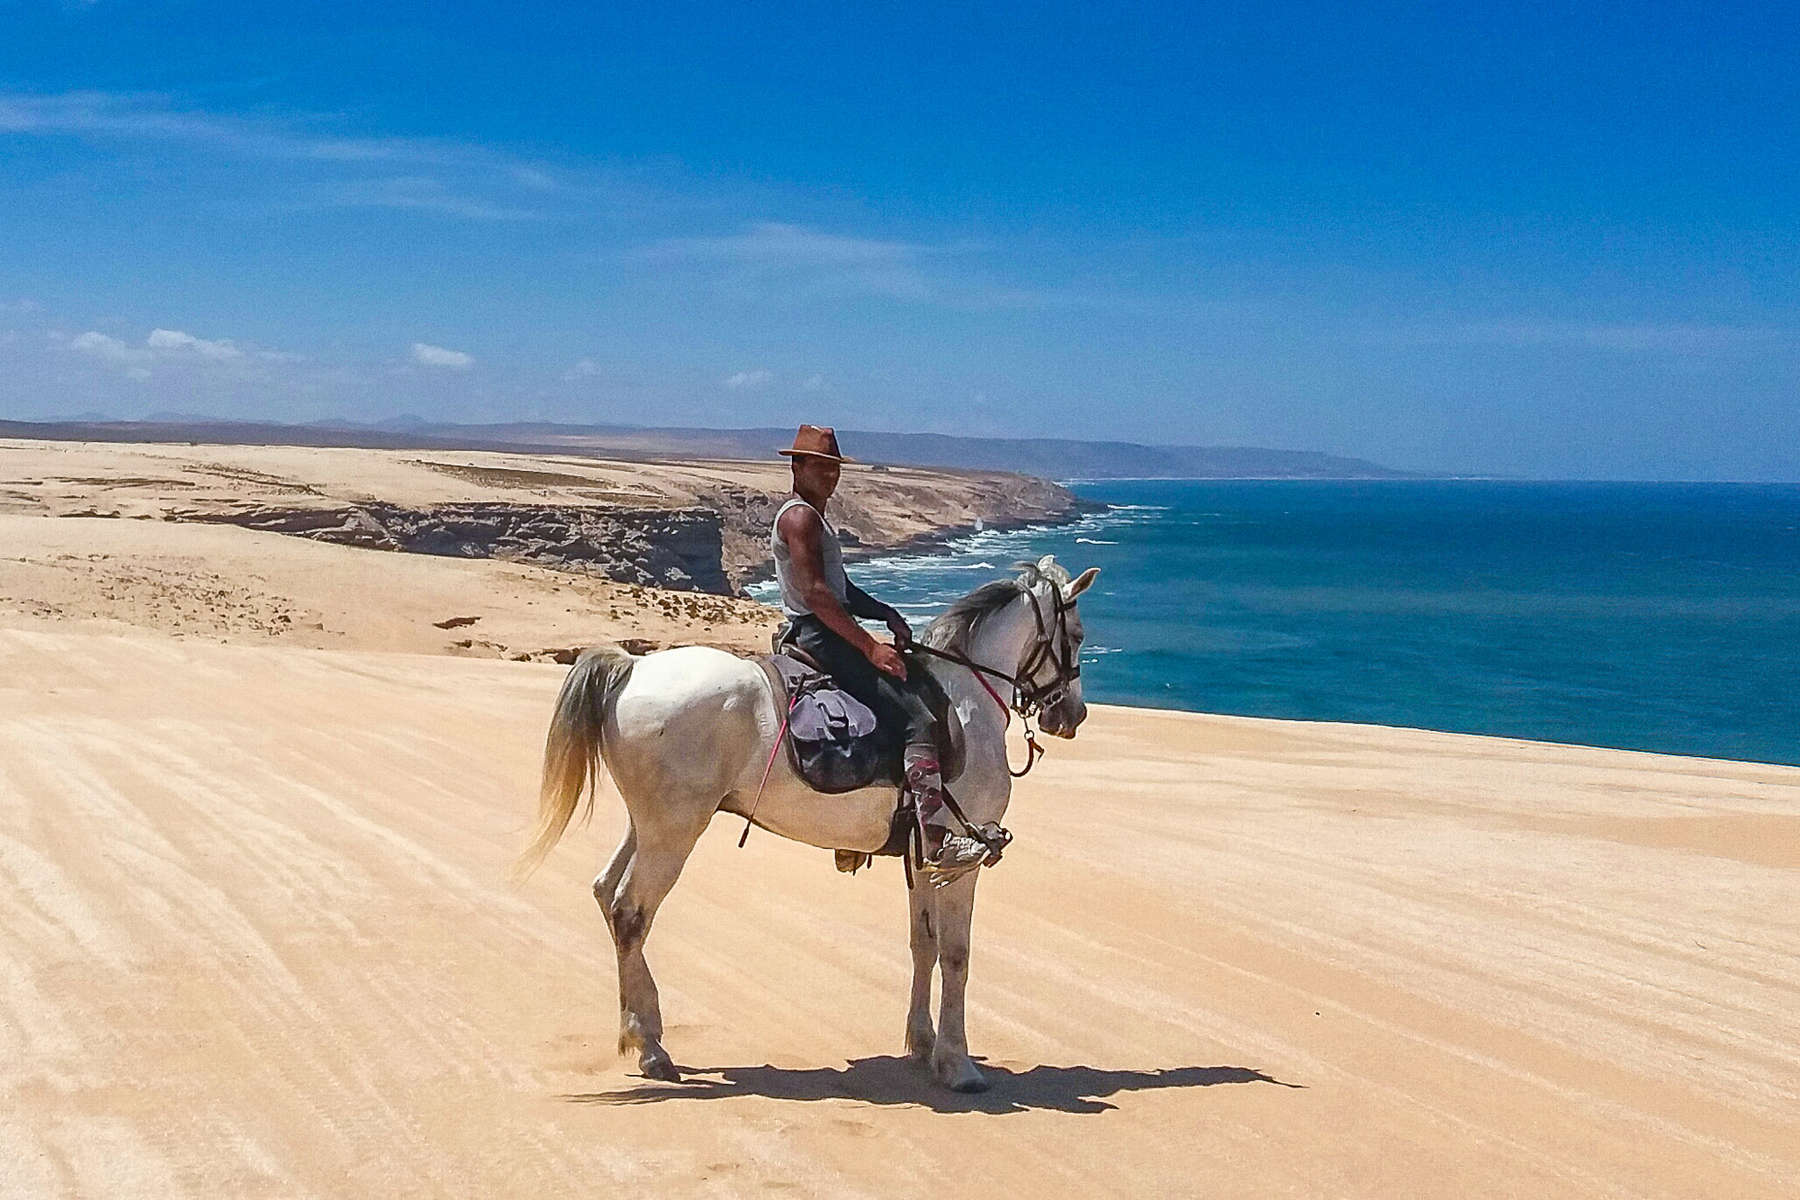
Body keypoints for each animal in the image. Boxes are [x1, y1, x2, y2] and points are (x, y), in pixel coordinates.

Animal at [522, 557, 1101, 1093]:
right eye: (1077, 636)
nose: (1072, 716)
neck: (965, 701)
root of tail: (632, 668)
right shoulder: (962, 864)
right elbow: (956, 956)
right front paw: (958, 1065)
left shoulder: (924, 857)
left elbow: (924, 944)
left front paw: (921, 1044)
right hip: (674, 833)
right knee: (630, 912)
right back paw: (651, 1048)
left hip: (647, 825)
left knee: (605, 892)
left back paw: (643, 1029)